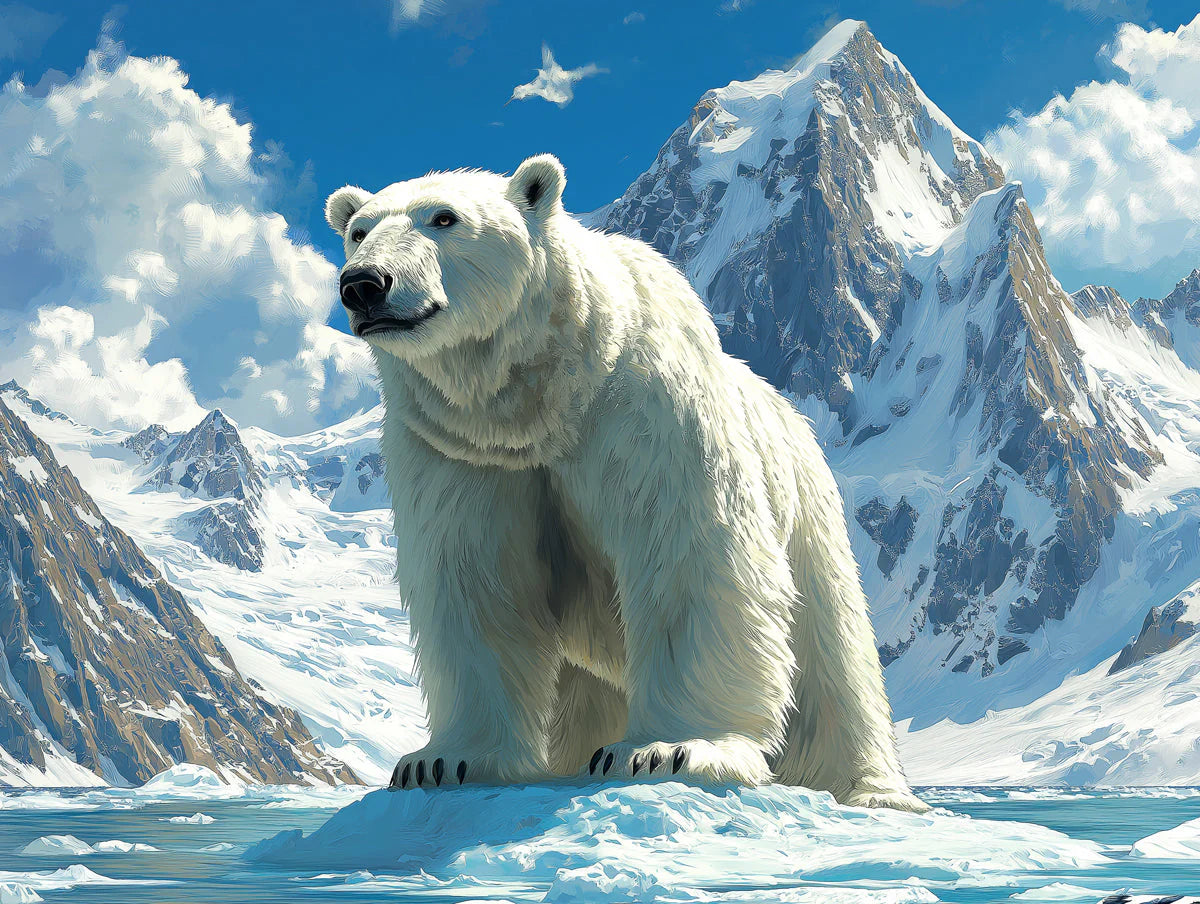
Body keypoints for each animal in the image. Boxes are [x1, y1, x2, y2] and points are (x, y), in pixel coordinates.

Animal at [324, 155, 927, 812]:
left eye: (444, 218)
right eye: (357, 229)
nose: (363, 283)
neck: (545, 403)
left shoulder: (647, 411)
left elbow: (689, 557)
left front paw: (671, 750)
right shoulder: (463, 454)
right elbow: (475, 582)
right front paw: (444, 761)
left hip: (806, 506)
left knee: (833, 654)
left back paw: (873, 790)